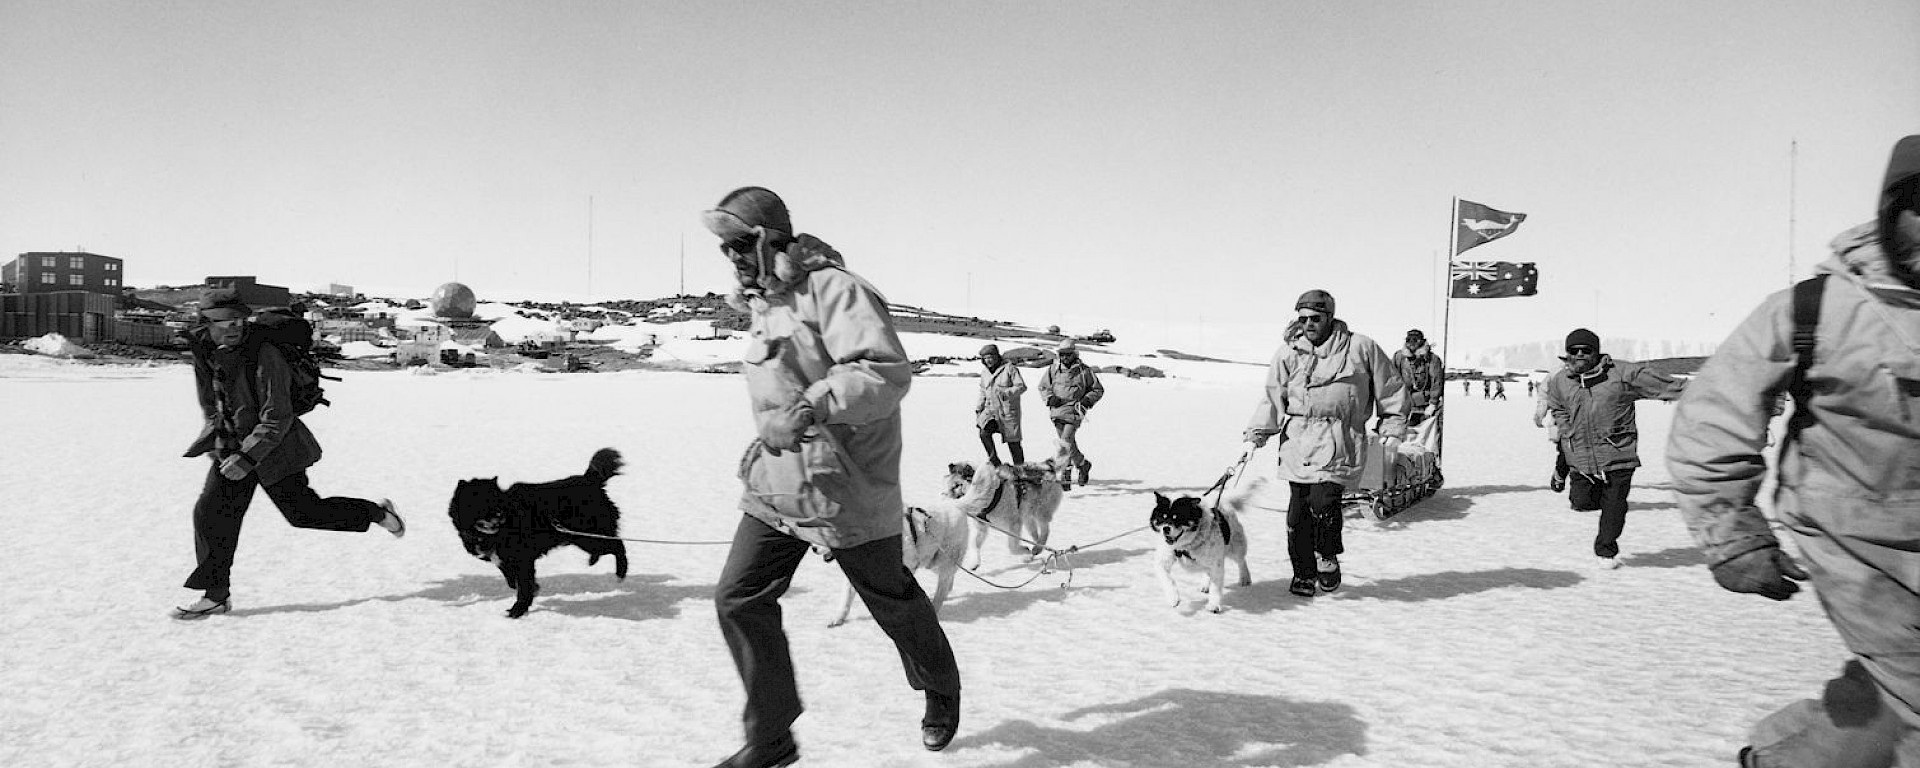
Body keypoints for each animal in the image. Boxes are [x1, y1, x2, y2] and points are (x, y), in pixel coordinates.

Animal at [449, 449, 629, 618]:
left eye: (497, 500)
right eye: (481, 502)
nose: (500, 515)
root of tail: (590, 480)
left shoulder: (523, 560)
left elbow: (523, 586)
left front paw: (518, 610)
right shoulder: (504, 559)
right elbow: (511, 578)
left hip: (590, 537)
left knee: (618, 546)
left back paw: (620, 573)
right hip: (584, 539)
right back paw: (595, 561)